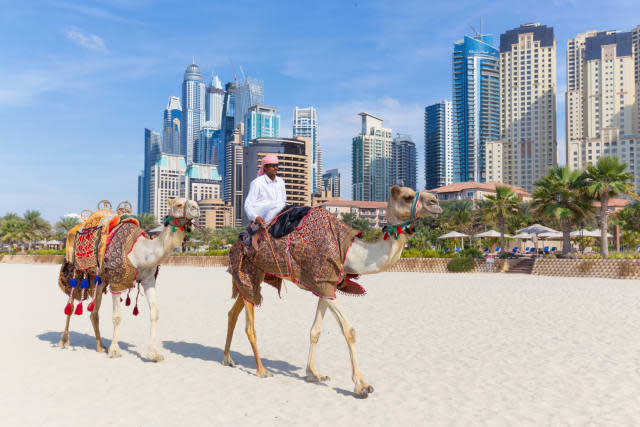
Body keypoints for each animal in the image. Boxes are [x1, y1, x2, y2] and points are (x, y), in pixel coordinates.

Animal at [57, 197, 199, 362]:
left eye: (193, 200)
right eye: (178, 204)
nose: (196, 208)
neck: (140, 253)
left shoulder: (148, 280)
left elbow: (155, 312)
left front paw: (154, 353)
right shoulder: (117, 281)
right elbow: (117, 317)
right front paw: (115, 351)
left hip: (99, 279)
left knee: (94, 312)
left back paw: (100, 346)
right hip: (75, 271)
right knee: (71, 305)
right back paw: (64, 341)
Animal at [222, 186, 442, 398]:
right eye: (407, 196)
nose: (435, 202)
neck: (349, 251)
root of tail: (236, 242)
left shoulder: (325, 285)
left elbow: (315, 331)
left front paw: (313, 374)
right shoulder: (322, 281)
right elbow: (349, 330)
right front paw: (361, 386)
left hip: (255, 275)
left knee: (233, 311)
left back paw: (228, 359)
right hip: (249, 270)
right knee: (250, 321)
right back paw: (261, 370)